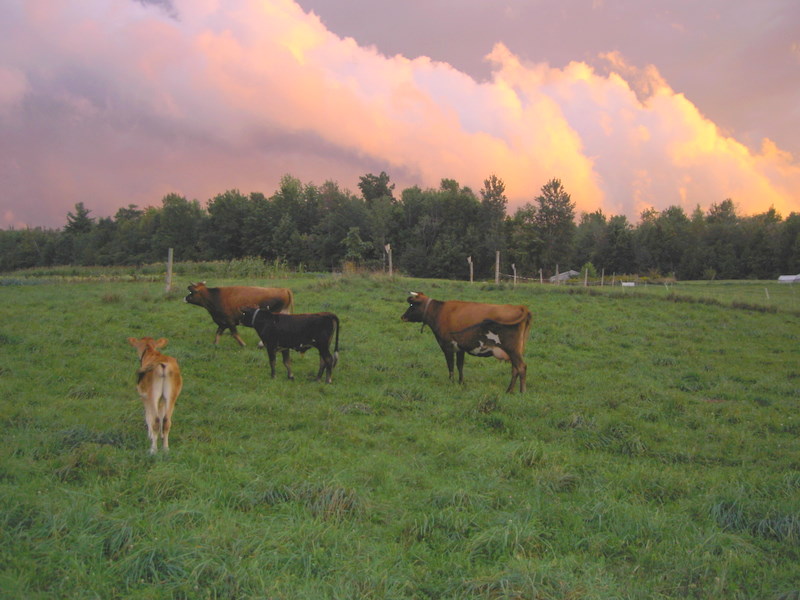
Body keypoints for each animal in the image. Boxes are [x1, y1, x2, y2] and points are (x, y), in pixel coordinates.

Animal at [401, 291, 532, 393]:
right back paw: (509, 390)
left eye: (412, 305)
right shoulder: (460, 348)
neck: (439, 312)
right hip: (516, 350)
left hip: (512, 349)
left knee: (521, 367)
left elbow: (450, 365)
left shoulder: (447, 346)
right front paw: (461, 382)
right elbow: (460, 365)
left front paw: (451, 382)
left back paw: (522, 392)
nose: (402, 317)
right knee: (515, 368)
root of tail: (520, 307)